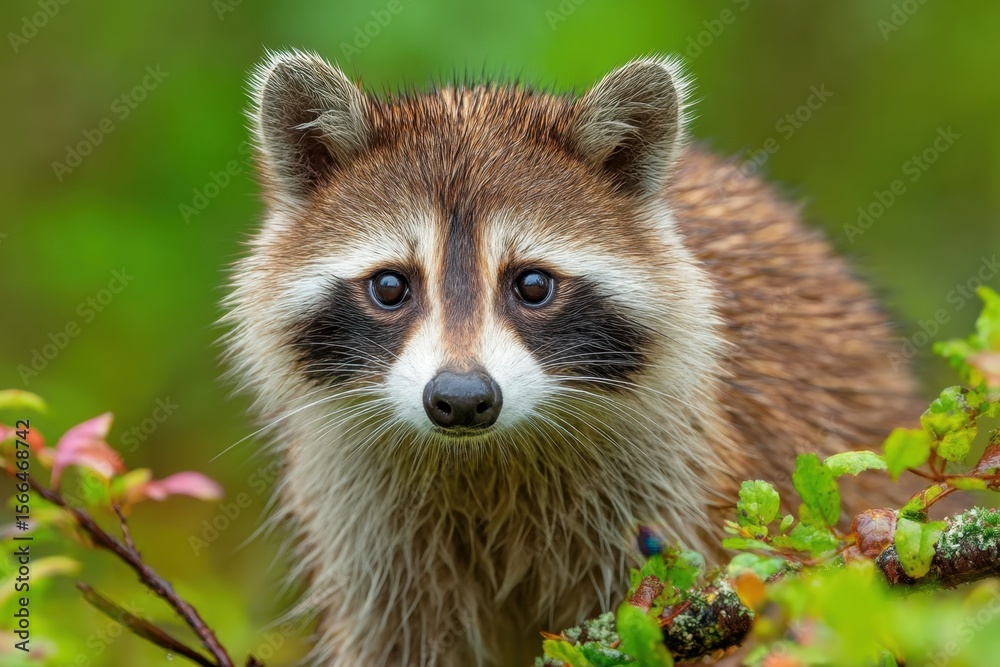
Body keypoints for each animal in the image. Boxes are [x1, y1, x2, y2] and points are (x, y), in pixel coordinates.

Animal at [223, 51, 919, 666]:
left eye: (532, 285)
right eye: (391, 287)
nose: (462, 399)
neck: (482, 463)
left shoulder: (670, 483)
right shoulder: (367, 527)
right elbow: (395, 640)